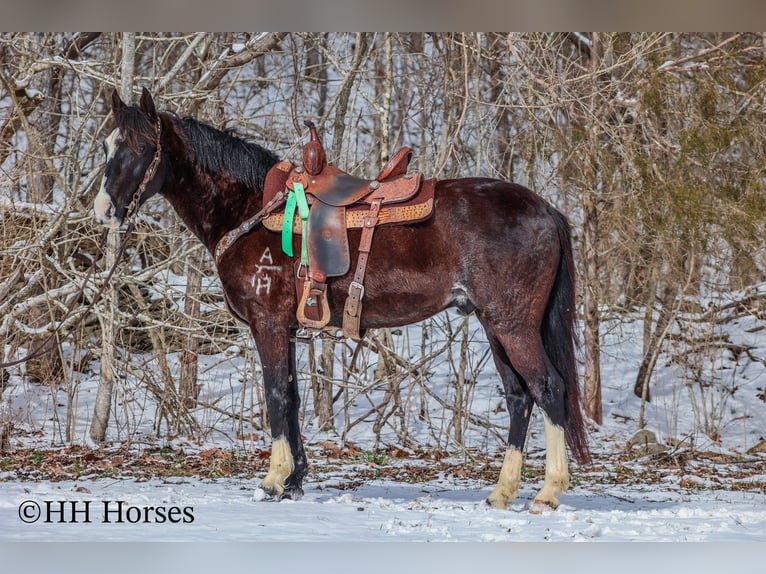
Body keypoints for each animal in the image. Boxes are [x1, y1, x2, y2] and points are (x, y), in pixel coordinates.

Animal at [93, 89, 592, 512]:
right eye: (107, 145)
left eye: (141, 147)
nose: (104, 209)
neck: (250, 209)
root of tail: (547, 210)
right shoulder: (287, 330)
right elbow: (292, 398)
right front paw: (294, 482)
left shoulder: (268, 325)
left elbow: (275, 396)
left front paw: (273, 481)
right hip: (494, 324)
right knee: (519, 397)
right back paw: (502, 492)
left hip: (513, 325)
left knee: (549, 388)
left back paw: (548, 491)